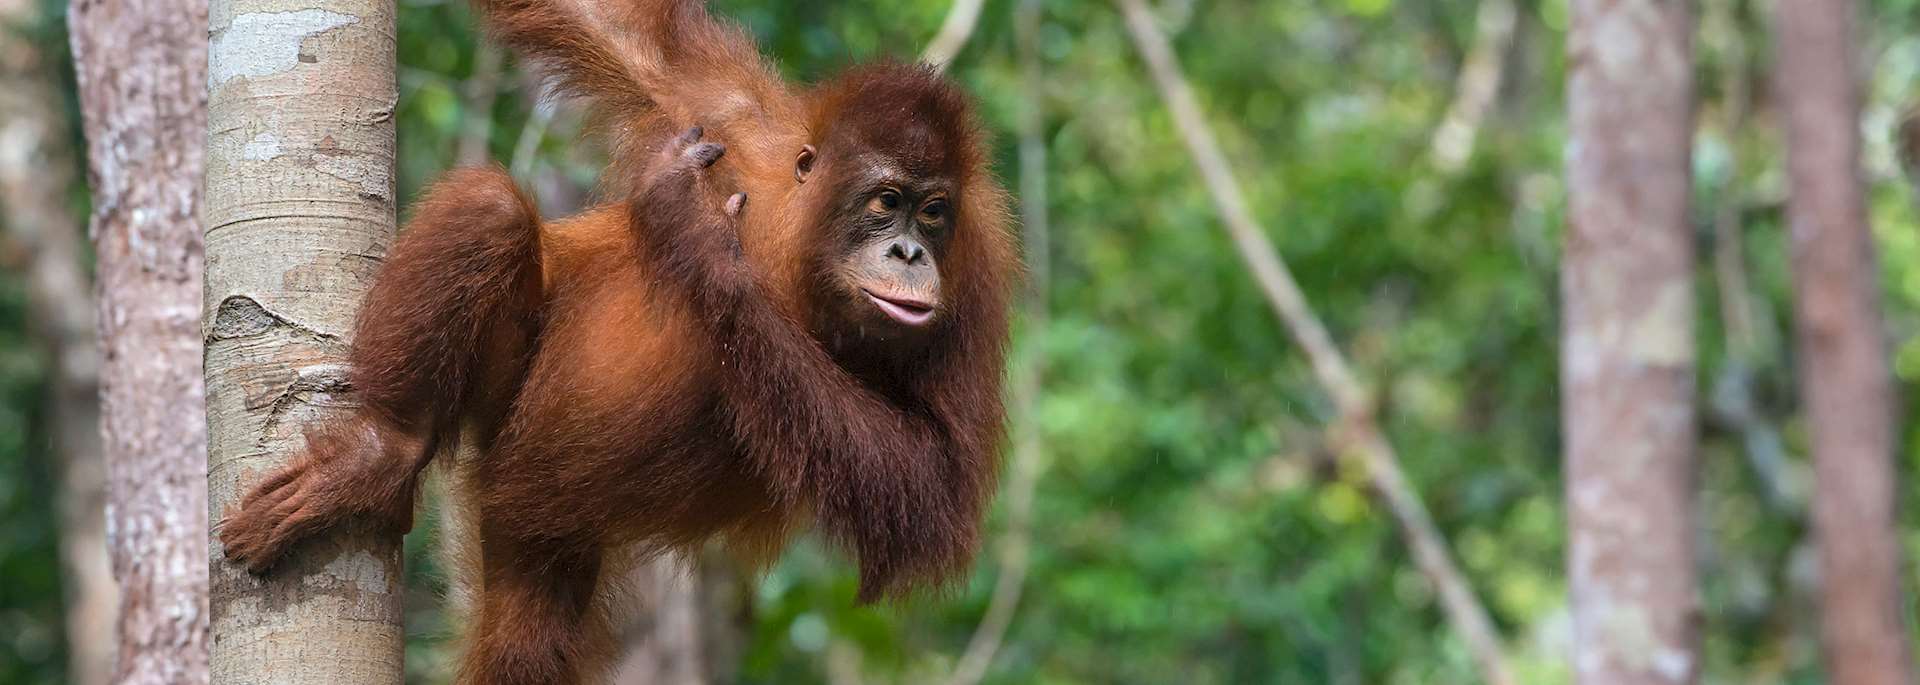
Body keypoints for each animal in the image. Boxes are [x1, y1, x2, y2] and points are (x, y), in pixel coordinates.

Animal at [214, 1, 1016, 682]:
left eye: (934, 211)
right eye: (887, 201)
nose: (910, 252)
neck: (797, 252)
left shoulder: (975, 276)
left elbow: (931, 487)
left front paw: (696, 239)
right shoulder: (727, 115)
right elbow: (613, 27)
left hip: (548, 534)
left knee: (529, 643)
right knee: (490, 208)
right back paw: (384, 449)